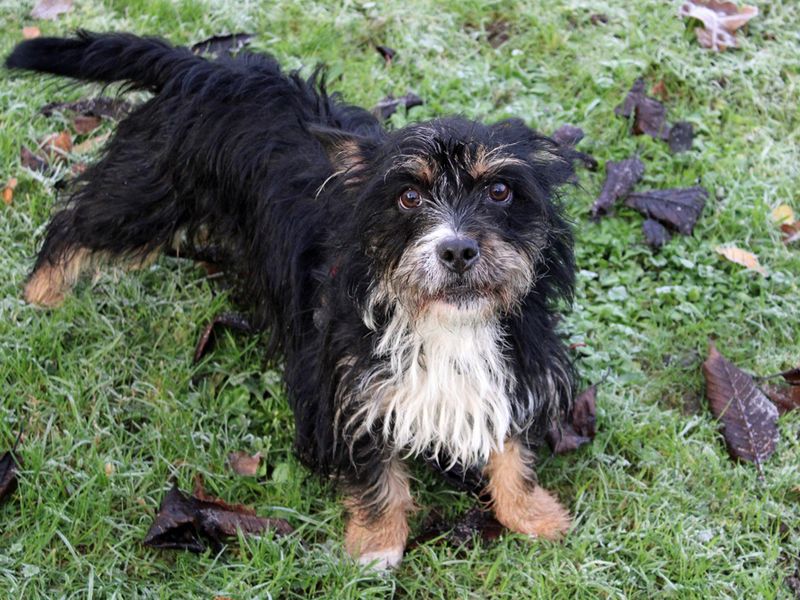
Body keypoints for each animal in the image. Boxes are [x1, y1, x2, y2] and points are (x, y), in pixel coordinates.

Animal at [6, 31, 580, 568]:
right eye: (409, 196)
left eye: (500, 191)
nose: (458, 250)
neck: (443, 322)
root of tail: (206, 69)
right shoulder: (342, 387)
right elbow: (375, 473)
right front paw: (376, 544)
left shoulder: (517, 364)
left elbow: (513, 449)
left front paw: (530, 512)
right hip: (145, 195)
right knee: (76, 224)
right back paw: (41, 293)